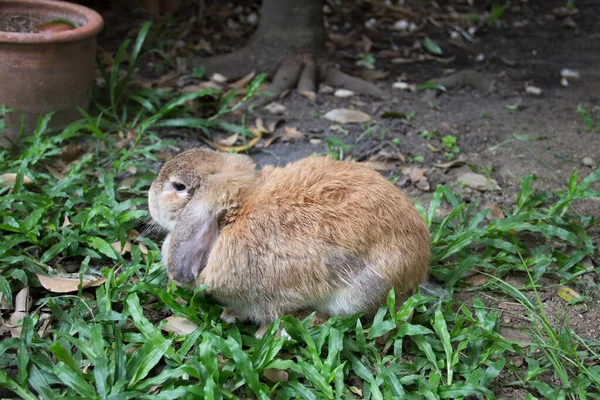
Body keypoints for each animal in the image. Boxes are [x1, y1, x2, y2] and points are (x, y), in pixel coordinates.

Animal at [150, 147, 432, 338]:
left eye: (178, 186)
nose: (150, 200)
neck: (234, 215)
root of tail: (418, 265)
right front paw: (231, 314)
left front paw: (263, 332)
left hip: (360, 291)